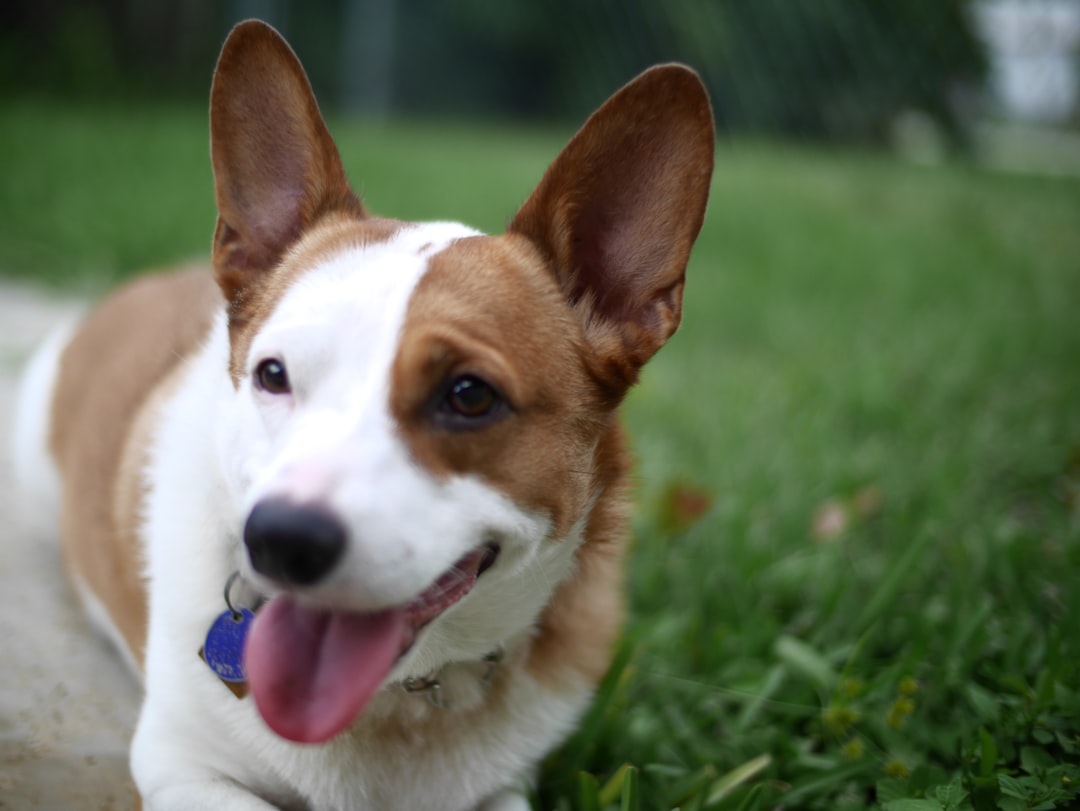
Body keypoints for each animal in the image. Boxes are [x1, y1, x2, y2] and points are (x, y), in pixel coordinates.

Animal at [12, 19, 717, 811]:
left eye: (469, 395)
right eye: (273, 374)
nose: (280, 540)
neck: (396, 699)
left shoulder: (503, 789)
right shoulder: (183, 766)